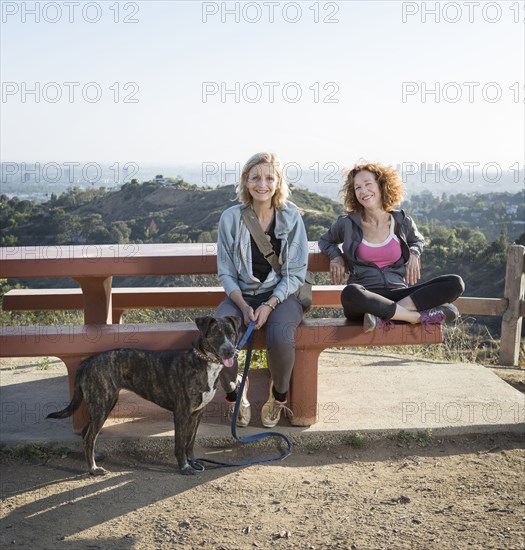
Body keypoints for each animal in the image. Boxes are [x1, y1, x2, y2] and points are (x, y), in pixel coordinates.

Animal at [47, 316, 239, 476]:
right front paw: (184, 467)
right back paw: (93, 469)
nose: (231, 352)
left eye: (232, 334)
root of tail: (87, 361)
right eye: (216, 334)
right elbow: (179, 444)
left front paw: (193, 462)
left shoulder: (197, 413)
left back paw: (95, 457)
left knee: (87, 433)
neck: (204, 363)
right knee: (89, 437)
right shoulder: (181, 413)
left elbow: (190, 443)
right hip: (102, 405)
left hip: (103, 404)